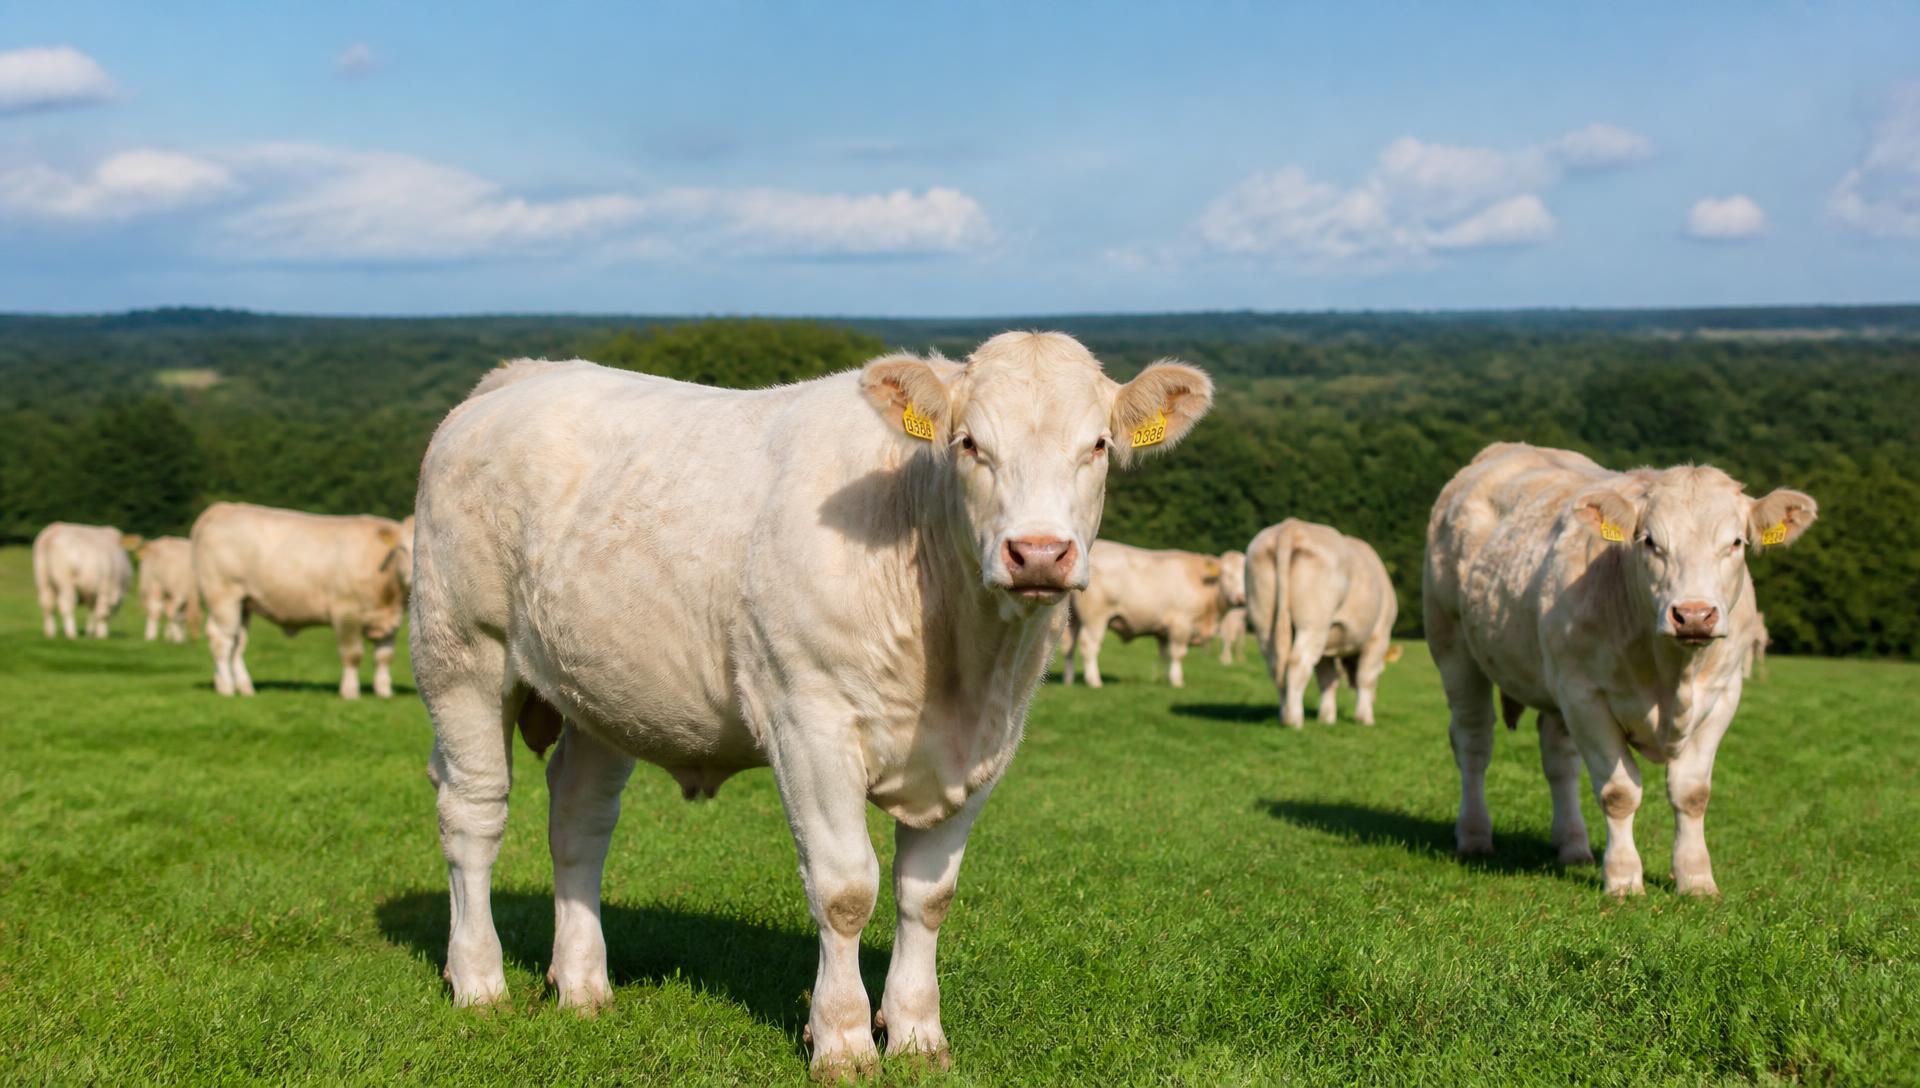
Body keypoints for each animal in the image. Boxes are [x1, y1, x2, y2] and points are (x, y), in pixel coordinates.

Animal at [191, 503, 415, 700]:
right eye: (403, 549)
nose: (413, 580)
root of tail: (224, 508)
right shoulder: (345, 612)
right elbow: (352, 654)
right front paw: (350, 693)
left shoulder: (391, 621)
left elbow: (384, 657)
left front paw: (384, 693)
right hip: (223, 596)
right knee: (222, 639)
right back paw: (227, 687)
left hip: (244, 603)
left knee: (238, 643)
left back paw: (245, 688)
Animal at [409, 332, 1211, 1076]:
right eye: (970, 443)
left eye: (1098, 445)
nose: (1038, 553)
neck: (958, 662)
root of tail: (523, 375)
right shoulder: (809, 722)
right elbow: (846, 888)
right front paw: (844, 1041)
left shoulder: (986, 747)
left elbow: (928, 896)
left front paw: (917, 1035)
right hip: (461, 653)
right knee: (474, 814)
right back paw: (478, 980)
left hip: (599, 689)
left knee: (578, 821)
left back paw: (582, 985)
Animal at [1062, 541, 1246, 688]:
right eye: (1226, 574)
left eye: (1246, 576)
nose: (1241, 598)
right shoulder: (1181, 623)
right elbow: (1178, 653)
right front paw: (1177, 681)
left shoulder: (1164, 631)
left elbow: (1165, 655)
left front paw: (1165, 678)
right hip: (1095, 618)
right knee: (1088, 646)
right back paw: (1094, 681)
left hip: (1073, 619)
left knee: (1069, 646)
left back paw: (1068, 680)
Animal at [1245, 519, 1399, 727]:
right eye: (1382, 671)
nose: (1375, 700)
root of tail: (1291, 526)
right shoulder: (1379, 634)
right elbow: (1365, 676)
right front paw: (1365, 718)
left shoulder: (1327, 648)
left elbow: (1327, 679)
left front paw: (1326, 718)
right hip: (1313, 623)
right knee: (1297, 662)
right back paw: (1294, 720)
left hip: (1263, 619)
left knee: (1276, 664)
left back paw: (1284, 716)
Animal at [1424, 442, 1815, 897]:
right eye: (1650, 542)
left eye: (1736, 542)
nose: (1694, 615)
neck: (1672, 675)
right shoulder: (1585, 696)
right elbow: (1619, 792)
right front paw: (1624, 879)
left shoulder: (1723, 694)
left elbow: (1692, 793)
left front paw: (1696, 879)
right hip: (1455, 650)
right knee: (1473, 743)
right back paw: (1473, 835)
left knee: (1559, 760)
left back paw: (1573, 846)